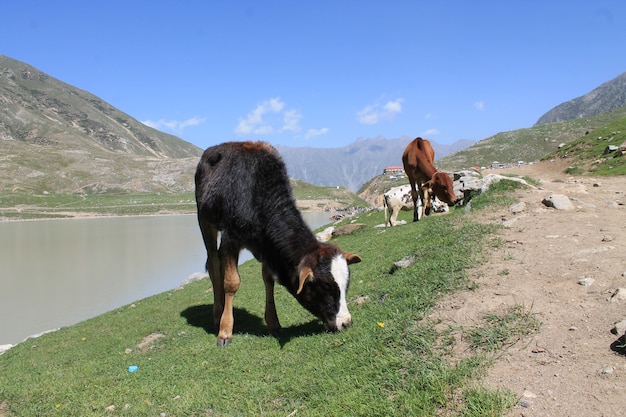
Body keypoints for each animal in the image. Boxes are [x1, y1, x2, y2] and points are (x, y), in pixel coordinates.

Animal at [195, 141, 360, 346]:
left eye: (346, 286)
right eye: (325, 288)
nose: (346, 322)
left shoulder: (268, 247)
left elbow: (269, 280)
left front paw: (274, 324)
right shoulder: (231, 237)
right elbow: (231, 282)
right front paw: (225, 331)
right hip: (204, 220)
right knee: (214, 263)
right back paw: (218, 315)